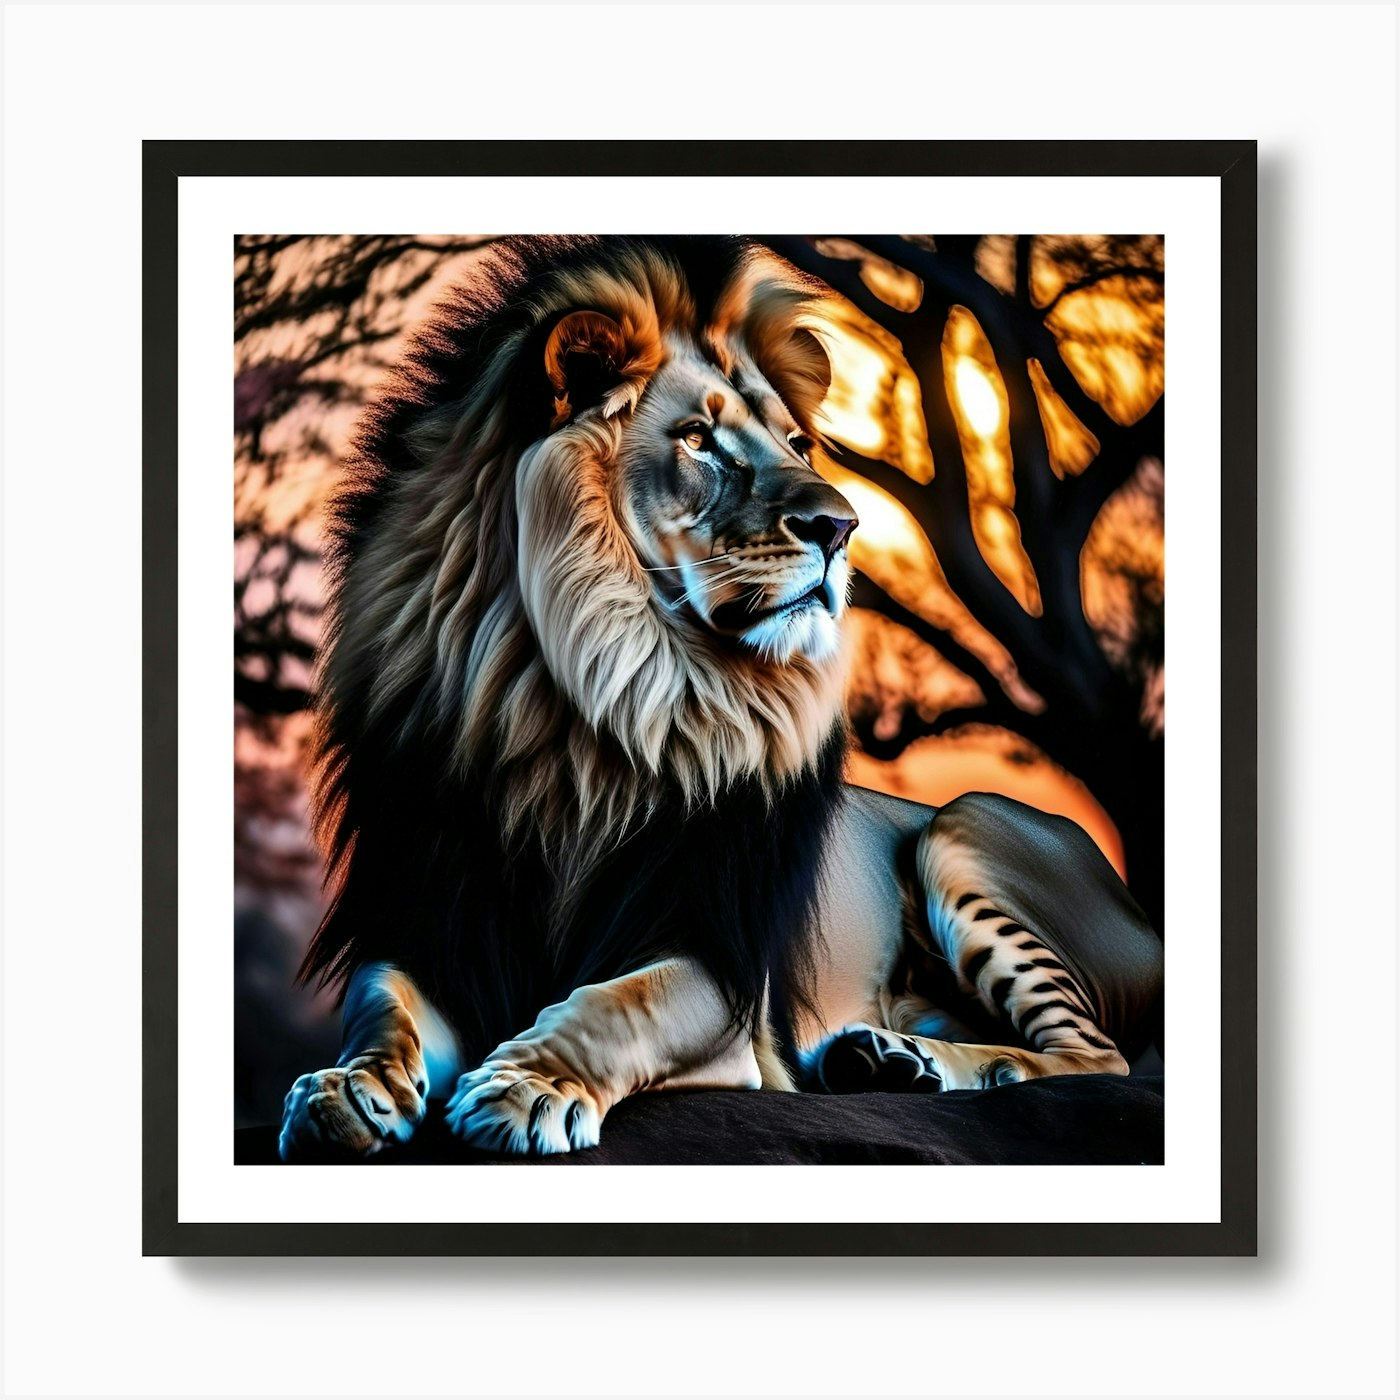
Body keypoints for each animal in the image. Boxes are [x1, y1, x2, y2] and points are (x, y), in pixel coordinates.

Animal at [278, 235, 1164, 1160]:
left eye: (798, 443)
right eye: (699, 440)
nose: (842, 527)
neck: (585, 698)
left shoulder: (721, 965)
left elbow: (618, 1004)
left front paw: (528, 1085)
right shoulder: (430, 919)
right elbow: (382, 1005)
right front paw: (344, 1087)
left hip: (964, 821)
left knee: (1092, 1053)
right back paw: (886, 1057)